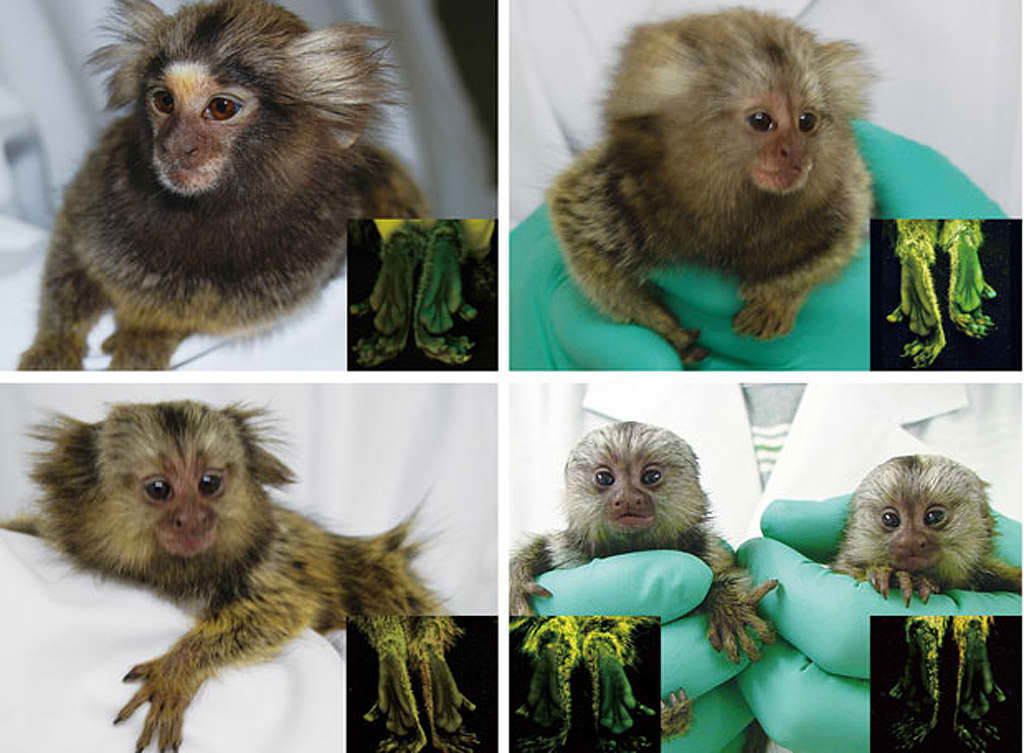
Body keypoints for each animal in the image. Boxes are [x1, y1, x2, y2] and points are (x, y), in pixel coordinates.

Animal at [0, 400, 442, 752]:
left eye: (208, 484)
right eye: (159, 489)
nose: (192, 519)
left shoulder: (272, 563)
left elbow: (276, 612)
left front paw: (179, 667)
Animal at [18, 0, 427, 371]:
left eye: (221, 108)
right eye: (163, 101)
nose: (174, 146)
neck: (206, 211)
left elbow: (199, 317)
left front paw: (146, 335)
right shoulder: (96, 192)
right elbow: (70, 256)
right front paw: (55, 343)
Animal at [509, 421, 777, 739]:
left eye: (651, 477)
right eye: (604, 478)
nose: (627, 497)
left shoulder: (709, 553)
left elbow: (730, 576)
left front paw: (728, 609)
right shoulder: (568, 552)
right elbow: (543, 549)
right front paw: (517, 579)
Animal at [547, 8, 873, 364]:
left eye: (807, 121)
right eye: (761, 120)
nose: (795, 154)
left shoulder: (838, 198)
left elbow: (846, 234)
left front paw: (778, 296)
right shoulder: (625, 192)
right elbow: (580, 235)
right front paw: (663, 325)